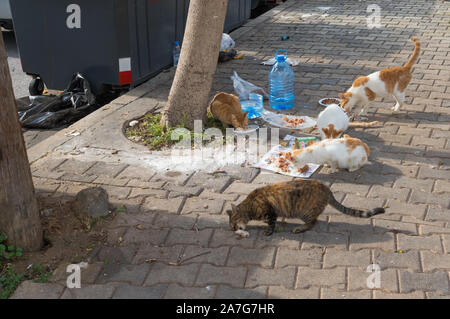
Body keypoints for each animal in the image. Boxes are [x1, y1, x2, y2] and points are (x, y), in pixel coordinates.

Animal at [227, 180, 384, 238]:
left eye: (233, 224)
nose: (233, 229)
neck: (249, 206)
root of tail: (327, 189)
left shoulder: (270, 212)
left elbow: (272, 224)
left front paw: (268, 231)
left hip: (306, 212)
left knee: (313, 222)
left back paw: (299, 228)